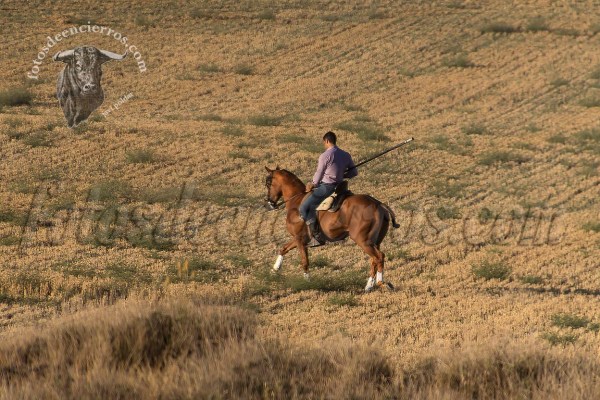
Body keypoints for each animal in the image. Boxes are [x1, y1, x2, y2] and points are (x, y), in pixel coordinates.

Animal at [264, 166, 400, 292]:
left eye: (268, 183)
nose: (269, 203)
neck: (296, 200)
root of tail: (378, 204)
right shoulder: (300, 239)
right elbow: (283, 249)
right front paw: (274, 270)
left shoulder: (299, 239)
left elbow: (304, 261)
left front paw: (308, 283)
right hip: (375, 242)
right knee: (374, 260)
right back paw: (369, 286)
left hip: (363, 241)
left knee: (379, 257)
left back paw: (381, 283)